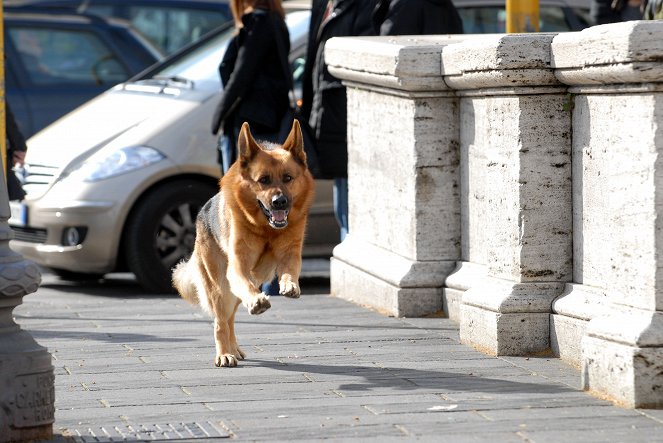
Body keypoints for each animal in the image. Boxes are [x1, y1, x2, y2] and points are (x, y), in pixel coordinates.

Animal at [172, 120, 316, 368]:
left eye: (288, 178)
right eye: (263, 180)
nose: (280, 202)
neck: (266, 229)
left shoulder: (290, 255)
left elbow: (289, 272)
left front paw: (290, 286)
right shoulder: (237, 267)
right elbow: (246, 291)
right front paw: (257, 302)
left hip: (246, 282)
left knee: (230, 318)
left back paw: (234, 349)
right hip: (220, 286)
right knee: (221, 321)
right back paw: (224, 353)